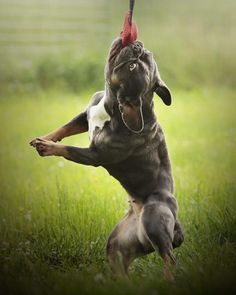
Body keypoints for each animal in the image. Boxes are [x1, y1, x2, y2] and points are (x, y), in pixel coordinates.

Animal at [30, 37, 184, 278]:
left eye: (132, 67)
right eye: (145, 57)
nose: (137, 46)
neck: (113, 105)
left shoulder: (94, 155)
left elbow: (69, 148)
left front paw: (47, 146)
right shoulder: (85, 115)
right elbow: (65, 127)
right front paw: (46, 137)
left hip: (154, 220)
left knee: (169, 257)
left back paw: (168, 279)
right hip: (118, 245)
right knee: (121, 263)